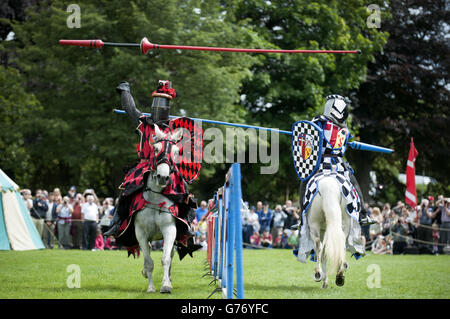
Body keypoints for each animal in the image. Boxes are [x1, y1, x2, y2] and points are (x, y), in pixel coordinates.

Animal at [134, 124, 183, 294]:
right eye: (155, 149)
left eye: (176, 152)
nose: (163, 177)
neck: (155, 200)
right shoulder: (140, 233)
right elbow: (149, 262)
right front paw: (150, 288)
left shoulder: (169, 229)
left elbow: (166, 258)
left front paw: (166, 285)